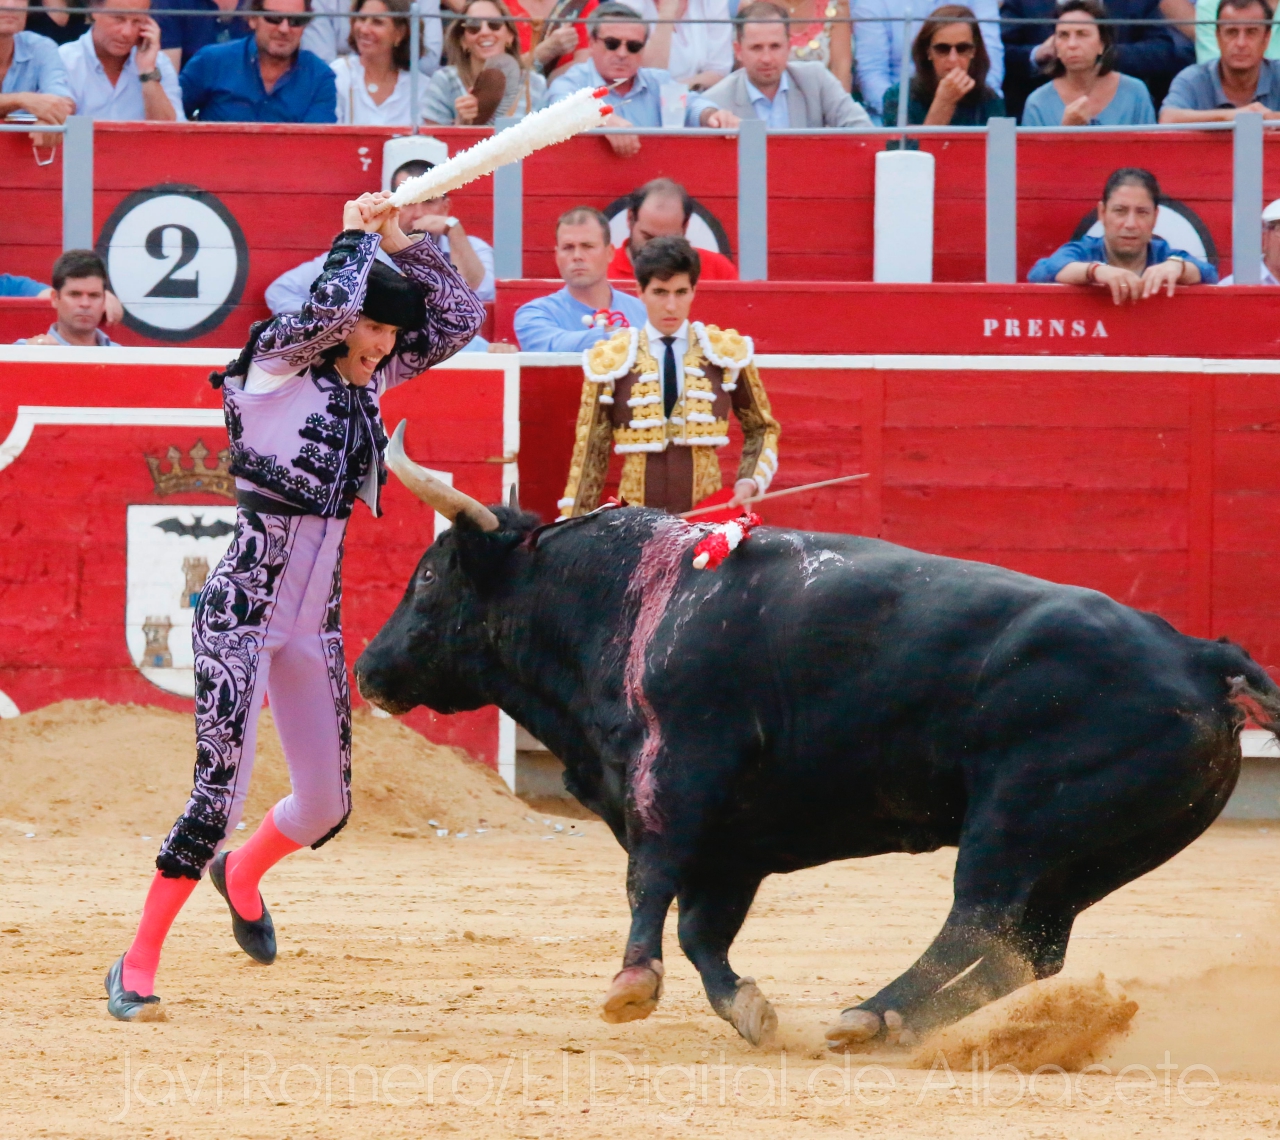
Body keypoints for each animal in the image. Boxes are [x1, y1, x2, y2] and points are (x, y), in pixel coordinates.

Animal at [355, 421, 1280, 1051]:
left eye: (429, 577)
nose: (368, 669)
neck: (624, 600)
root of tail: (1202, 657)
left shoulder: (678, 774)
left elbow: (651, 881)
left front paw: (630, 986)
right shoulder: (733, 842)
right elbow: (702, 928)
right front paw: (750, 1011)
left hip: (1017, 826)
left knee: (978, 924)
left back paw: (867, 1014)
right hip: (1089, 856)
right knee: (1025, 954)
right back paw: (888, 1025)